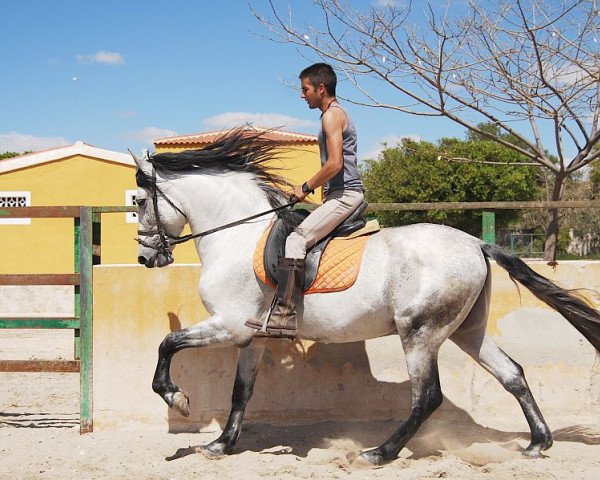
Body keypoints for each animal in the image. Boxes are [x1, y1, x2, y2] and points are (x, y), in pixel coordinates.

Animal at [132, 127, 600, 464]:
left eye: (137, 201)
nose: (145, 258)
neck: (237, 235)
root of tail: (475, 243)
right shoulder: (253, 335)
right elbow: (240, 391)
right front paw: (221, 445)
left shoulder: (228, 325)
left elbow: (167, 344)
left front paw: (178, 398)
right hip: (466, 330)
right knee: (512, 373)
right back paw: (538, 442)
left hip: (420, 333)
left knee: (427, 396)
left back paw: (379, 452)